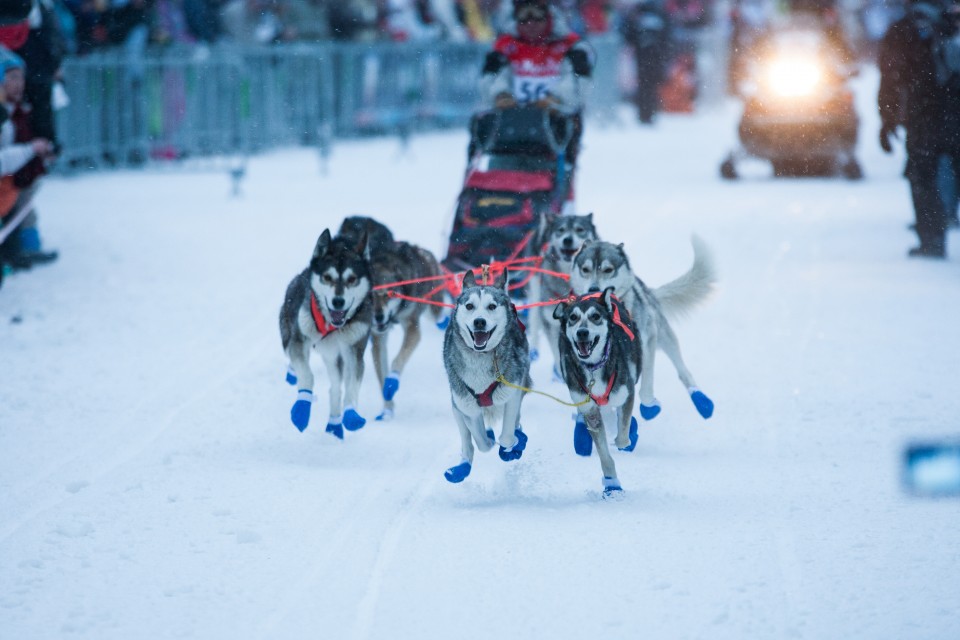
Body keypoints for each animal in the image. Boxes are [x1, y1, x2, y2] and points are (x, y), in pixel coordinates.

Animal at [280, 226, 374, 440]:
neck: (334, 325)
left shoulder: (354, 351)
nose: (338, 301)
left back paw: (335, 424)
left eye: (352, 279)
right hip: (295, 339)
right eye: (327, 277)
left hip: (334, 355)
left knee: (336, 387)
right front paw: (301, 408)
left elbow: (351, 387)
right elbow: (307, 375)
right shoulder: (299, 340)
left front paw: (351, 415)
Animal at [444, 268, 532, 482]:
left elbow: (507, 436)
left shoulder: (512, 392)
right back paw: (462, 466)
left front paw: (513, 445)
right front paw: (490, 441)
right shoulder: (467, 406)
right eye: (469, 306)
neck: (480, 357)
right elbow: (482, 443)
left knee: (516, 423)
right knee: (467, 443)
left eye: (492, 306)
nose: (479, 321)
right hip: (456, 407)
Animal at [552, 288, 640, 498]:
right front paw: (611, 482)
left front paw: (624, 437)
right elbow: (604, 455)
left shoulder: (627, 393)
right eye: (573, 318)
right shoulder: (589, 409)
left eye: (596, 316)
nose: (582, 332)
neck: (593, 368)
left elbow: (623, 435)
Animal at [568, 238, 712, 422]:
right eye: (585, 269)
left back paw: (700, 399)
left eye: (608, 270)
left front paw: (648, 405)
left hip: (665, 338)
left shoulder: (647, 341)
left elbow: (646, 383)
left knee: (683, 371)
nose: (593, 289)